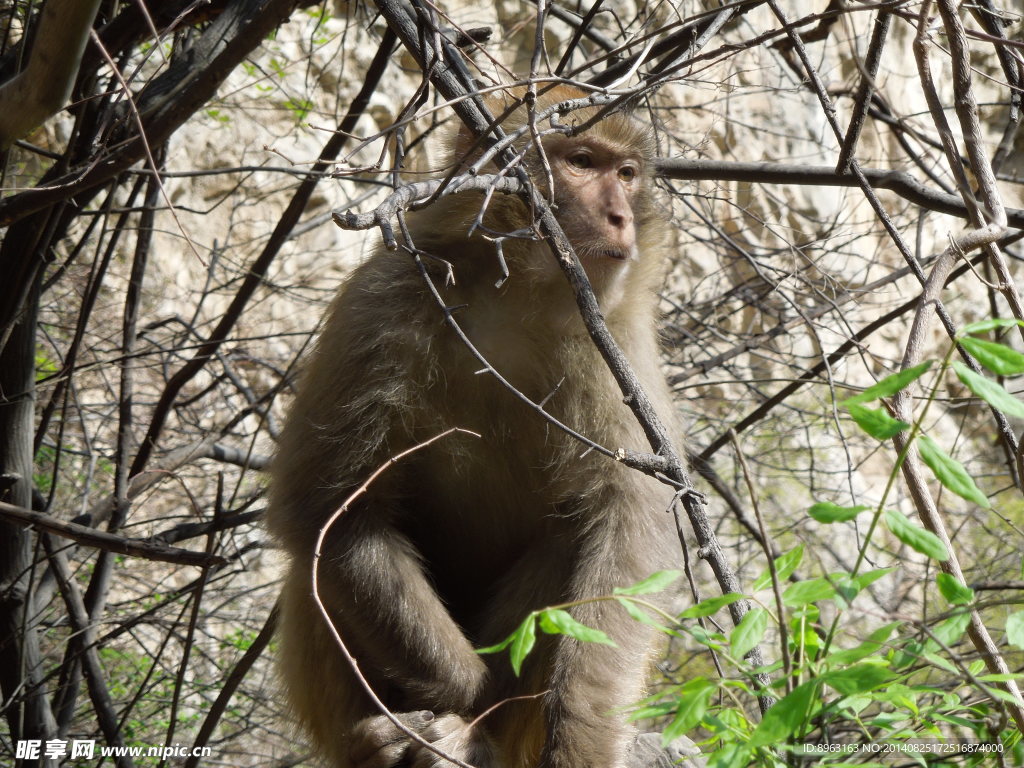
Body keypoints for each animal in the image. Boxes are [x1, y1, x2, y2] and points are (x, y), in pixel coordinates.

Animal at [266, 83, 679, 768]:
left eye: (626, 174)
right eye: (581, 162)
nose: (621, 216)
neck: (516, 294)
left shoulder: (616, 342)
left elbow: (627, 526)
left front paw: (575, 736)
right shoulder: (385, 298)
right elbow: (333, 510)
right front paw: (467, 696)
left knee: (572, 532)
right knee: (318, 561)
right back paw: (381, 741)